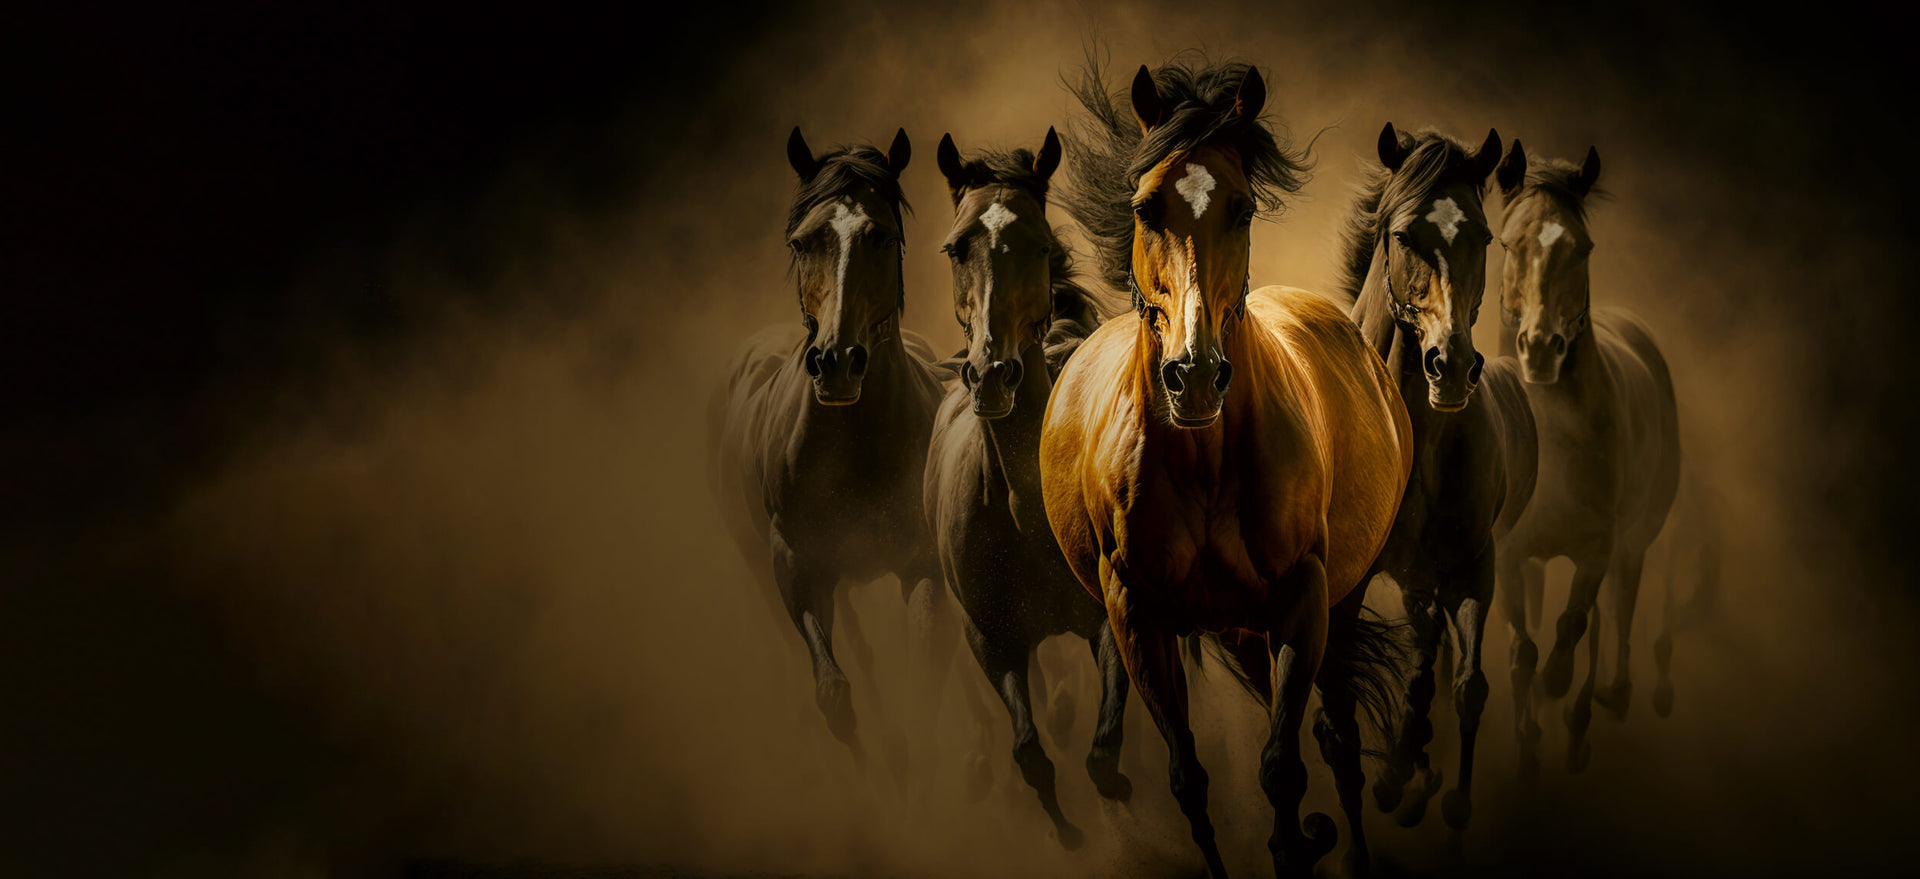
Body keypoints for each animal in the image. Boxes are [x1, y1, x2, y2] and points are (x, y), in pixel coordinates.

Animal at [707, 127, 956, 773]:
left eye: (883, 236)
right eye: (802, 241)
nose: (837, 363)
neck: (854, 444)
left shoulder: (920, 565)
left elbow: (925, 679)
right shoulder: (794, 564)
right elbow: (834, 693)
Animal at [922, 128, 1131, 848]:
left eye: (1039, 244)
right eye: (956, 246)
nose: (992, 374)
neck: (1026, 512)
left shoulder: (1109, 621)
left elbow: (1104, 754)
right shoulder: (993, 643)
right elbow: (1031, 754)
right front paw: (1070, 837)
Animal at [1046, 59, 1413, 878]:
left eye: (1242, 209)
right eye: (1146, 207)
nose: (1195, 377)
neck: (1206, 463)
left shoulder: (1303, 599)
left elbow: (1283, 768)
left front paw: (1299, 844)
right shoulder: (1138, 615)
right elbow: (1189, 780)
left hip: (1331, 604)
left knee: (1340, 743)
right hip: (1243, 630)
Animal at [1338, 124, 1538, 835]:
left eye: (1481, 237)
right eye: (1403, 236)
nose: (1450, 366)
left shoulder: (1473, 565)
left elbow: (1466, 684)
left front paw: (1450, 800)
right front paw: (1397, 778)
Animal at [1490, 142, 1681, 775]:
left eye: (1583, 248)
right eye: (1509, 243)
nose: (1541, 349)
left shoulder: (1598, 546)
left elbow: (1574, 625)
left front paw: (1564, 695)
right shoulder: (1509, 552)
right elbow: (1523, 647)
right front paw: (1526, 743)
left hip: (1634, 541)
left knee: (1616, 610)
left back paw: (1602, 704)